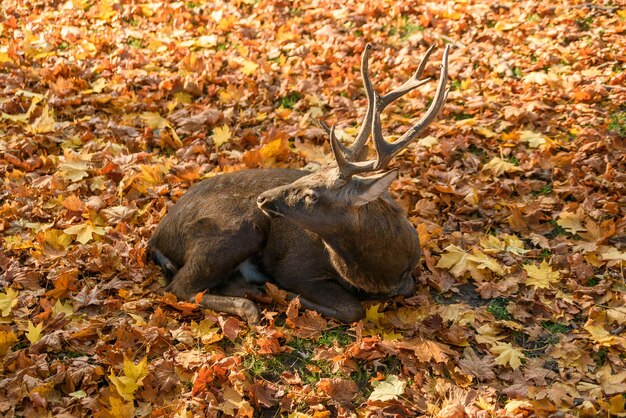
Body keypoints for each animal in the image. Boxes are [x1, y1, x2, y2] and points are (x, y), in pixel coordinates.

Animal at [146, 45, 448, 324]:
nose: (262, 198)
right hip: (237, 228)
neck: (382, 270)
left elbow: (403, 290)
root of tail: (157, 238)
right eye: (305, 176)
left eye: (312, 194)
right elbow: (353, 309)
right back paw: (252, 306)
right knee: (179, 287)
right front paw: (287, 296)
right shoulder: (296, 267)